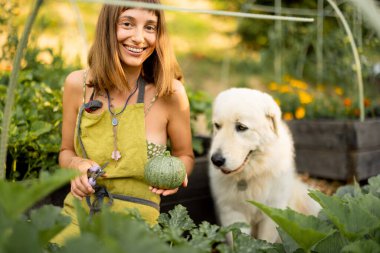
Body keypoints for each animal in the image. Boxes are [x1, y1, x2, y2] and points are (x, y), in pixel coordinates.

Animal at [208, 88, 320, 242]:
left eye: (241, 127)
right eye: (217, 125)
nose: (216, 160)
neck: (250, 175)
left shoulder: (272, 212)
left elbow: (265, 241)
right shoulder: (232, 212)